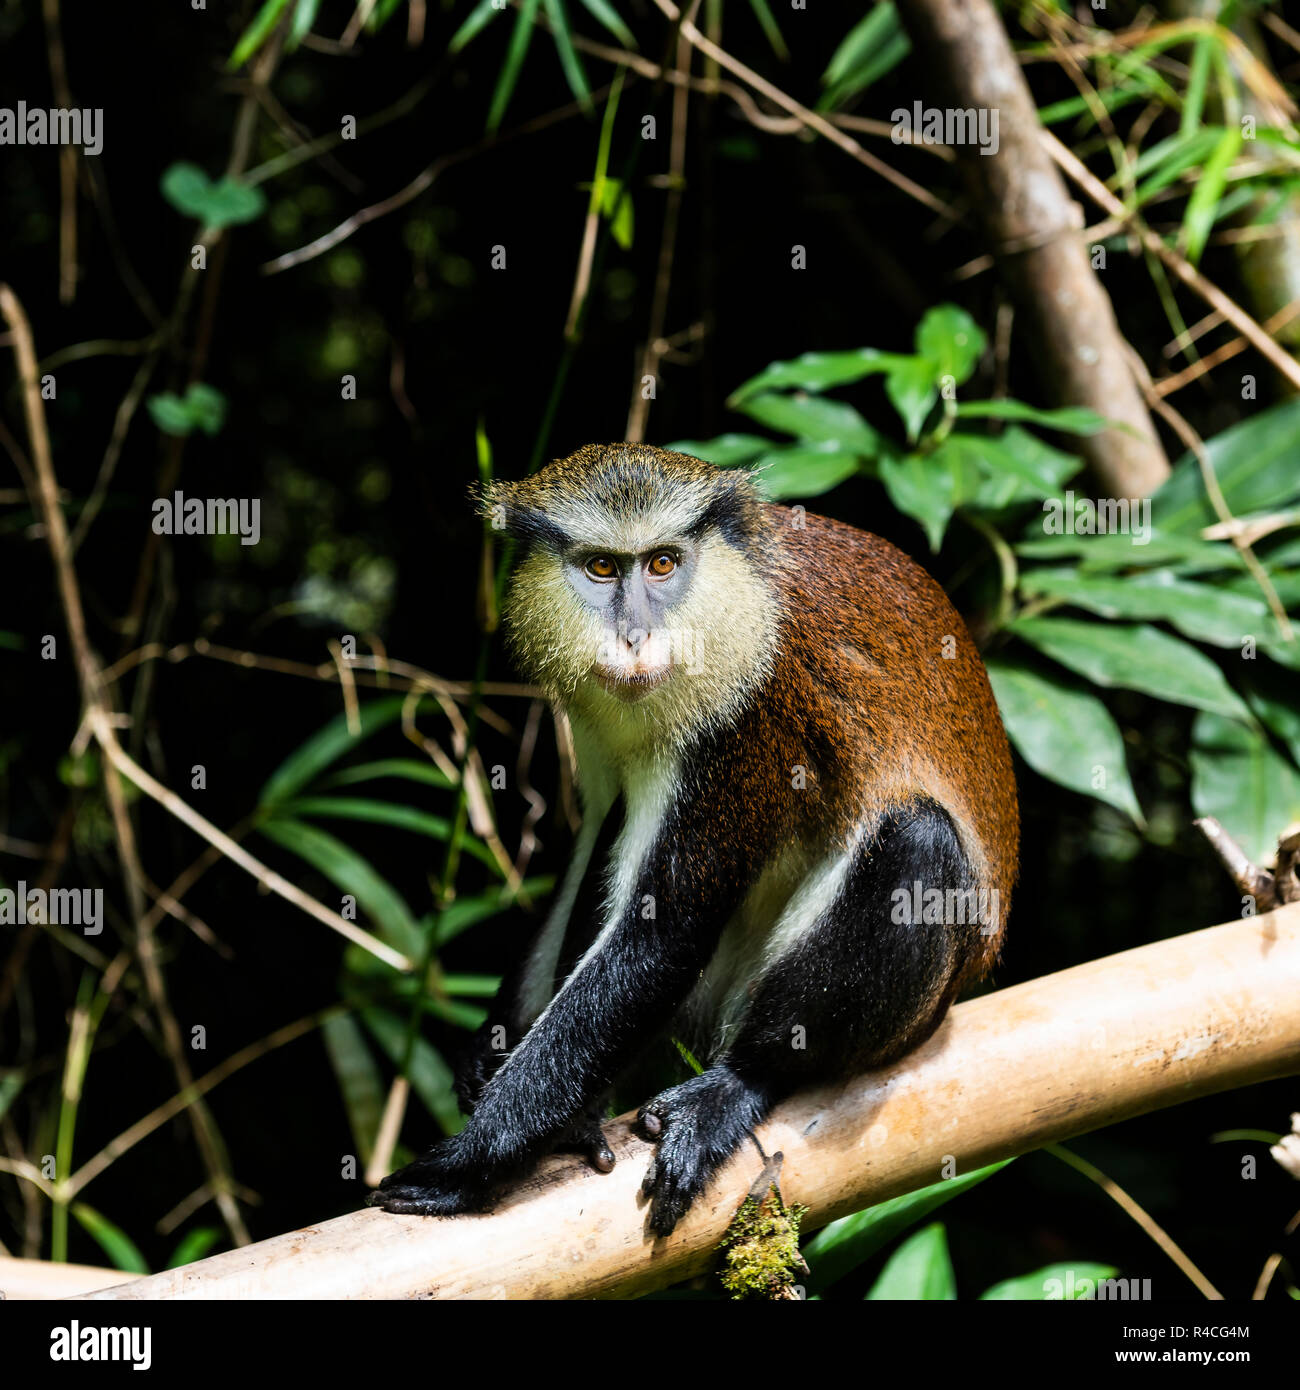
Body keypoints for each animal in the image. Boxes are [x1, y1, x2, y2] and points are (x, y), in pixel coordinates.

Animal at [369, 439, 1023, 1234]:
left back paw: (736, 1085)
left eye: (662, 563)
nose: (634, 636)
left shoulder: (748, 717)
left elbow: (664, 930)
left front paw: (470, 1164)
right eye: (601, 567)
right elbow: (591, 842)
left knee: (919, 843)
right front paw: (487, 1053)